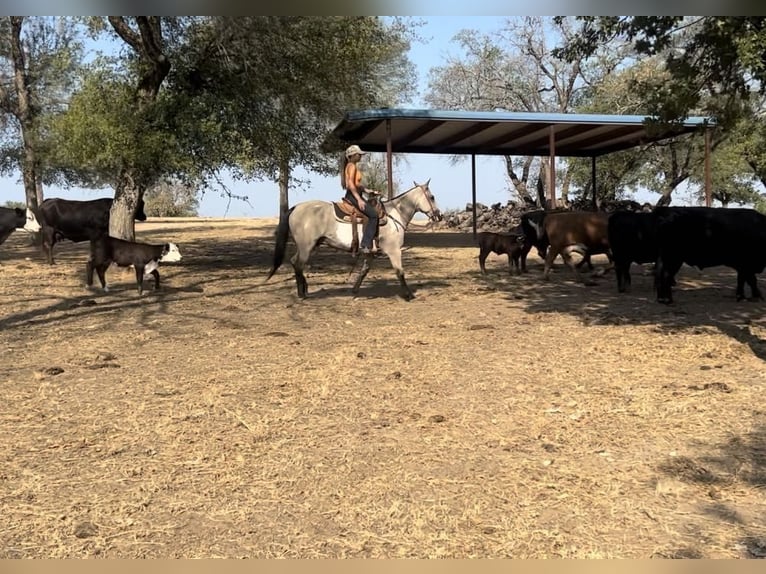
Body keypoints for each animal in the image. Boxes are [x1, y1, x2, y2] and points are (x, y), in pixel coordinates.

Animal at [268, 182, 440, 302]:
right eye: (432, 197)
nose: (439, 215)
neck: (395, 215)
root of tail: (295, 208)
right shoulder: (394, 251)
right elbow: (400, 272)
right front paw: (409, 295)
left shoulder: (370, 253)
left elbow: (364, 271)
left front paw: (355, 291)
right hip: (306, 246)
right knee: (298, 264)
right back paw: (301, 293)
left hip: (307, 246)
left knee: (294, 262)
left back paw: (305, 289)